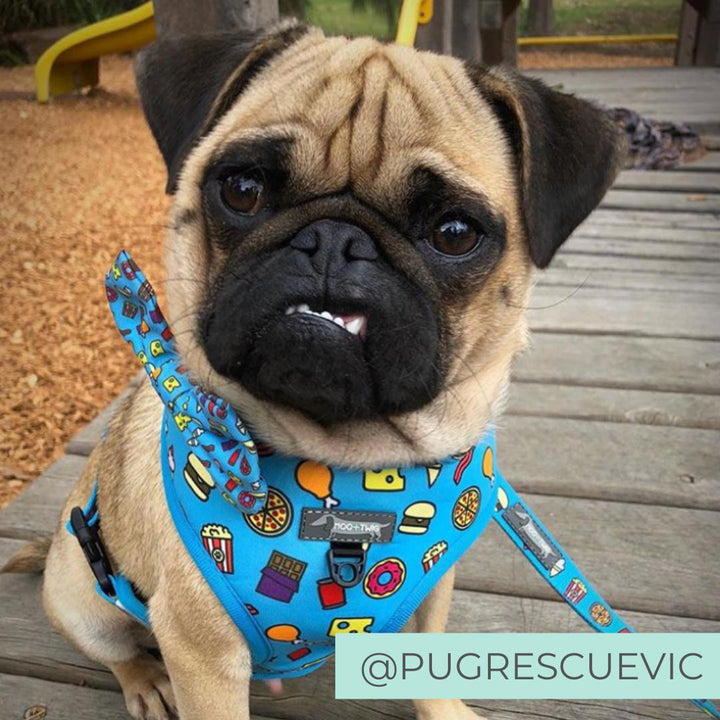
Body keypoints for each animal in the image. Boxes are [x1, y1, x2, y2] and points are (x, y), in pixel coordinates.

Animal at [16, 19, 624, 720]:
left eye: (454, 232)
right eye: (242, 190)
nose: (336, 240)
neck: (348, 471)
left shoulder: (431, 589)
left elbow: (429, 661)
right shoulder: (204, 657)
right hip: (82, 597)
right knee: (117, 649)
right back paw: (145, 682)